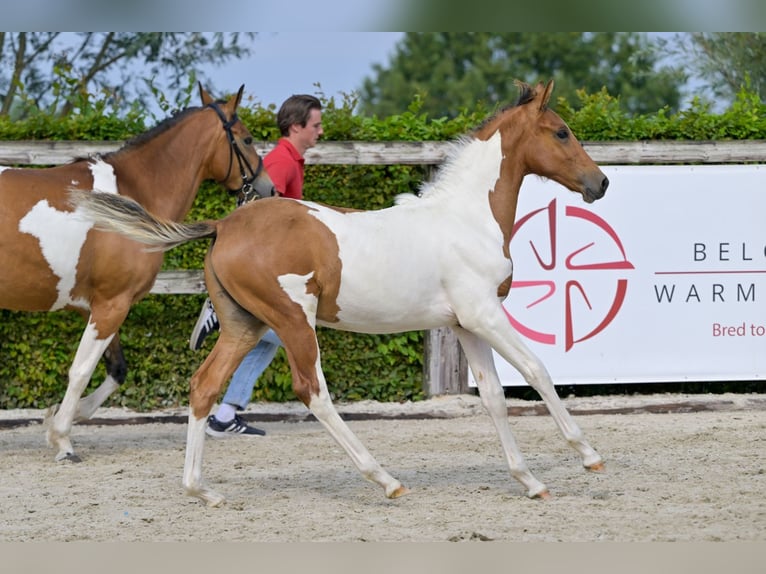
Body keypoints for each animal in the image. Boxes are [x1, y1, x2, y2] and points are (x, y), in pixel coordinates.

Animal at [0, 84, 276, 464]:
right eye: (247, 139)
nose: (268, 189)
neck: (131, 196)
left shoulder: (100, 305)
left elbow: (116, 370)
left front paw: (59, 418)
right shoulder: (112, 305)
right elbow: (81, 371)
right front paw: (63, 439)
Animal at [72, 79, 612, 506]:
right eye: (561, 131)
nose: (600, 183)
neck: (465, 218)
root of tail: (224, 224)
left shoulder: (465, 324)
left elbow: (495, 397)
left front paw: (530, 481)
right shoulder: (484, 315)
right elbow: (537, 371)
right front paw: (588, 455)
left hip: (244, 325)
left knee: (204, 385)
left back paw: (201, 489)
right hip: (292, 320)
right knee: (312, 391)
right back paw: (385, 479)